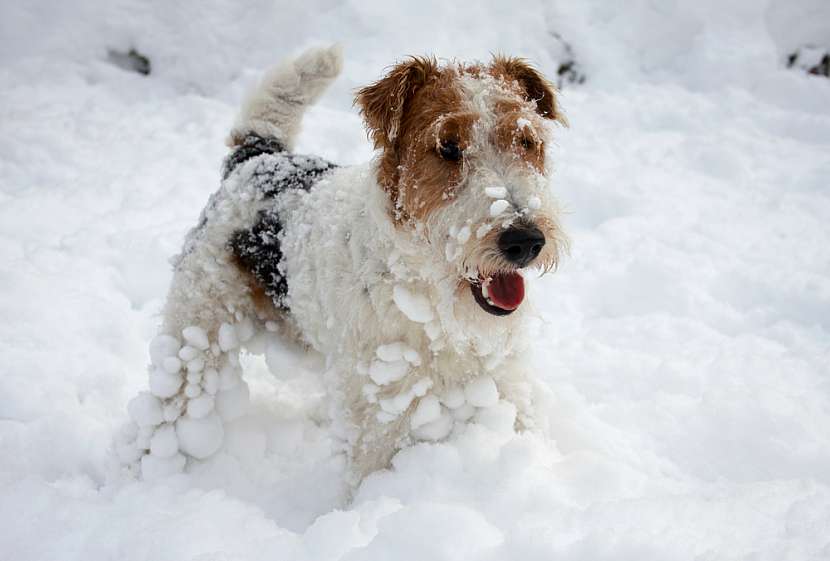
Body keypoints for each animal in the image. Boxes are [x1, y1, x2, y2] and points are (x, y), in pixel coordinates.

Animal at [118, 46, 572, 480]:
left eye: (527, 140)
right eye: (447, 145)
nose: (525, 240)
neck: (428, 300)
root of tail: (256, 159)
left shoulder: (502, 383)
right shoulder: (384, 408)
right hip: (196, 329)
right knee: (167, 406)